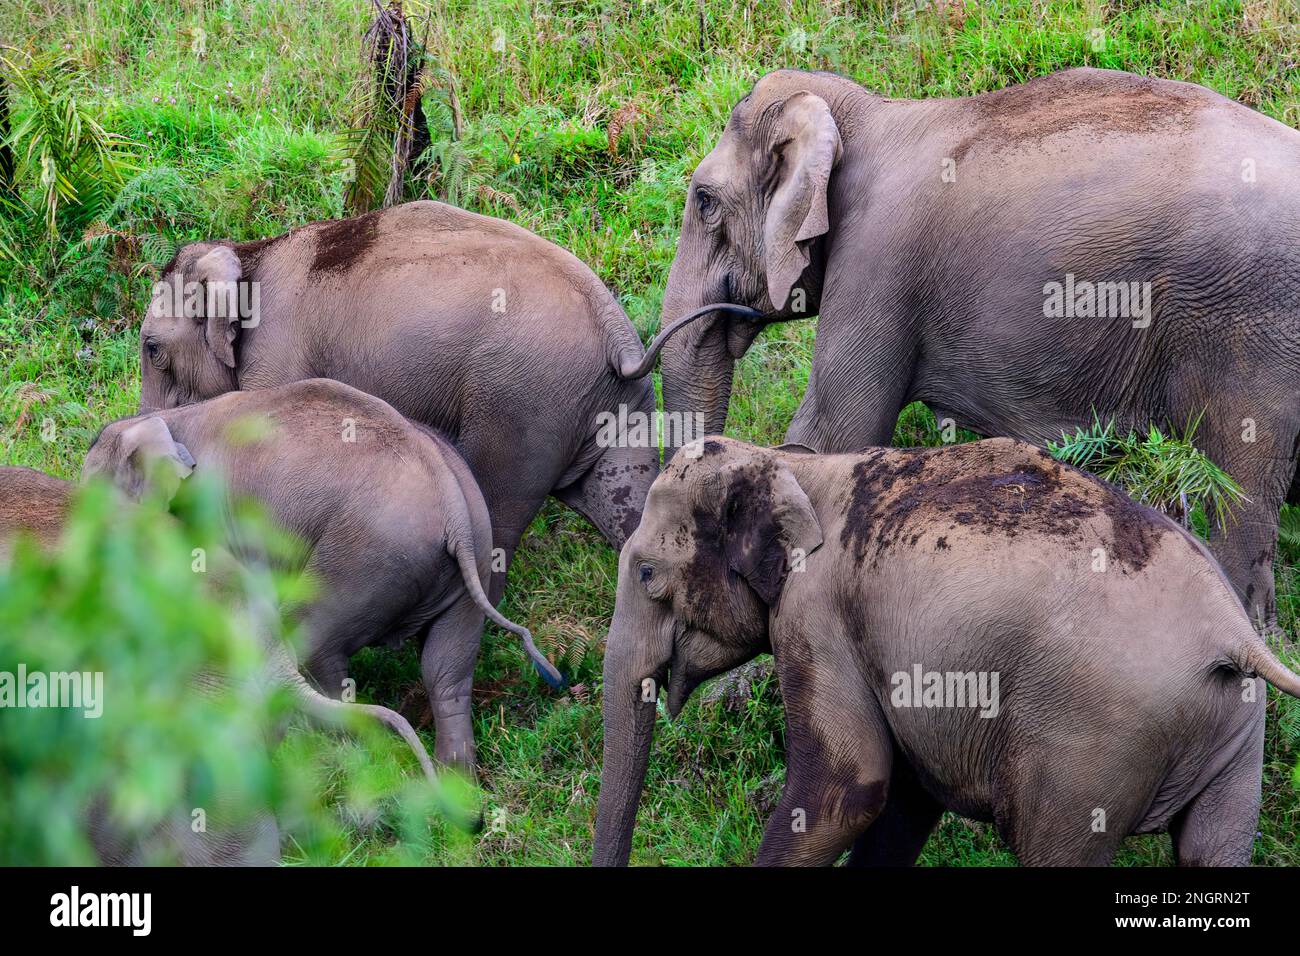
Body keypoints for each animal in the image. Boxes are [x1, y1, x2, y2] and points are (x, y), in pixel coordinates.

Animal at [83, 379, 561, 770]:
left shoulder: (222, 516)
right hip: (472, 559)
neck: (171, 420)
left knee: (317, 642)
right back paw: (458, 802)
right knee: (446, 673)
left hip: (367, 559)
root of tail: (455, 509)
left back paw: (340, 755)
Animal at [143, 200, 665, 598]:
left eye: (151, 348)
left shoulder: (278, 358)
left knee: (497, 515)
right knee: (631, 512)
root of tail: (617, 337)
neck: (248, 253)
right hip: (612, 408)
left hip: (522, 404)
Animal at [592, 439, 1300, 868]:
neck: (795, 466)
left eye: (648, 573)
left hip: (1091, 747)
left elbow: (847, 789)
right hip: (1236, 729)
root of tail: (1232, 633)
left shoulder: (818, 619)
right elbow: (904, 798)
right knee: (1212, 851)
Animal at [647, 63, 1300, 624]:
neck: (867, 112)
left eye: (704, 202)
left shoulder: (879, 259)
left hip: (1248, 333)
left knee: (1239, 507)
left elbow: (833, 434)